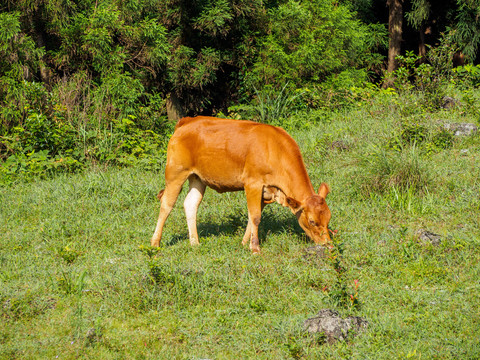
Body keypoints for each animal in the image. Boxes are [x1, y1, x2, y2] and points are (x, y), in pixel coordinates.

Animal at [152, 116, 332, 252]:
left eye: (328, 218)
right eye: (312, 221)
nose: (328, 245)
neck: (275, 149)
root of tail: (188, 121)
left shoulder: (265, 191)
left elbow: (252, 218)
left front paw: (245, 243)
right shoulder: (253, 184)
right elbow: (256, 217)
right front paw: (255, 248)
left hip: (198, 178)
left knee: (190, 204)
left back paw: (195, 243)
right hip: (176, 173)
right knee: (166, 204)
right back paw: (155, 243)